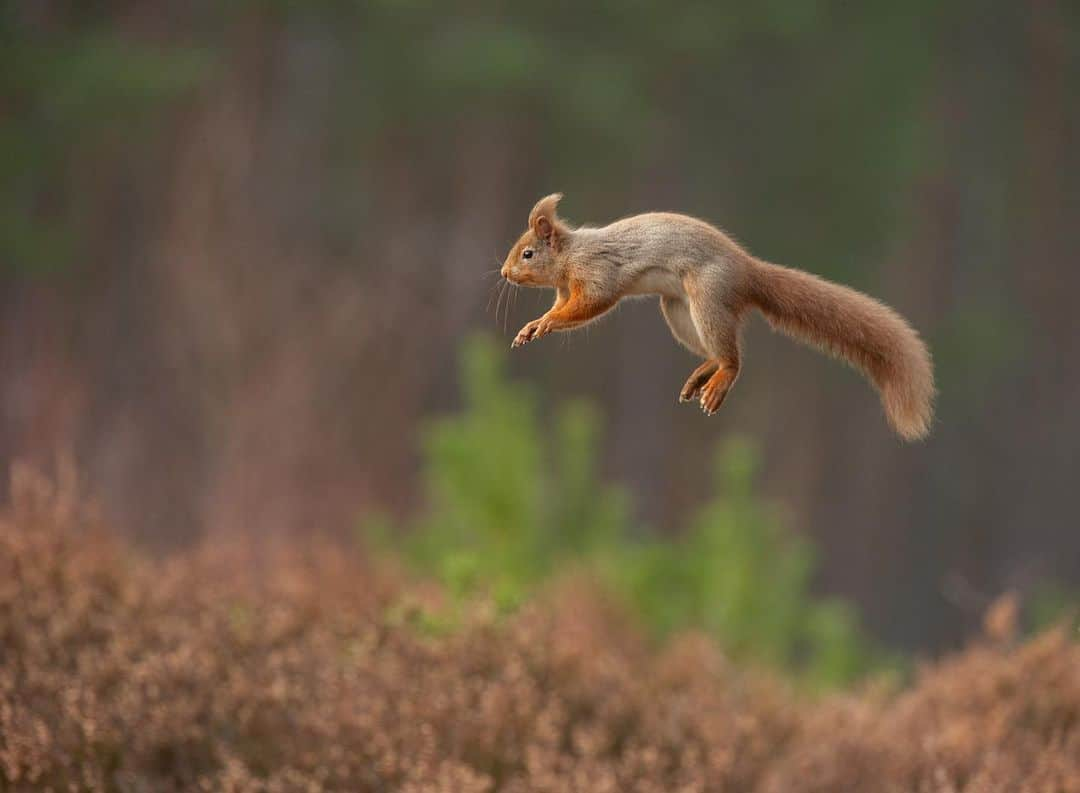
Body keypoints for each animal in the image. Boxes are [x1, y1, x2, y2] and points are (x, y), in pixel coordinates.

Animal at [501, 193, 933, 440]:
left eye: (528, 254)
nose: (504, 273)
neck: (571, 254)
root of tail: (748, 271)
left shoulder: (597, 274)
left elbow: (588, 305)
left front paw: (547, 324)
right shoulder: (564, 290)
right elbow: (560, 307)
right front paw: (533, 326)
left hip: (708, 299)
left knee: (732, 357)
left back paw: (719, 380)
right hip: (677, 310)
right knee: (712, 350)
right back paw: (701, 374)